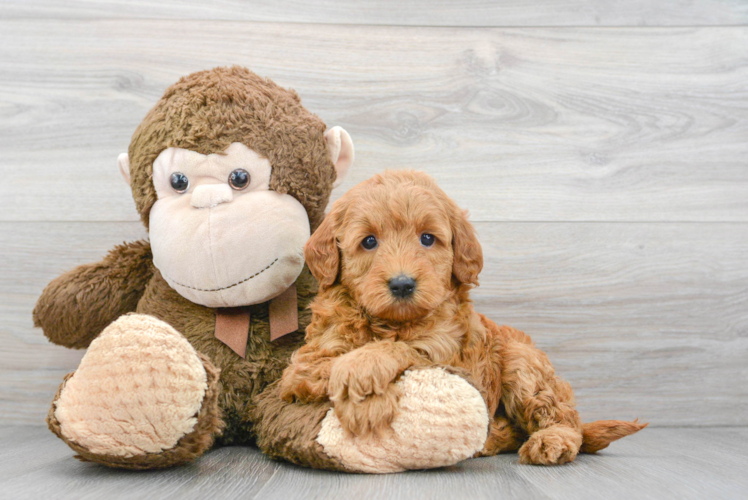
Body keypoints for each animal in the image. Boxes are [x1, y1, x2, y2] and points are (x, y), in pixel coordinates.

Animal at [280, 171, 644, 464]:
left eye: (428, 238)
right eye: (369, 241)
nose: (402, 284)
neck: (393, 323)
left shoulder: (449, 353)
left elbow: (404, 349)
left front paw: (364, 381)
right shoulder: (306, 362)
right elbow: (327, 366)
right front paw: (365, 399)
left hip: (522, 363)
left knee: (562, 416)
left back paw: (552, 441)